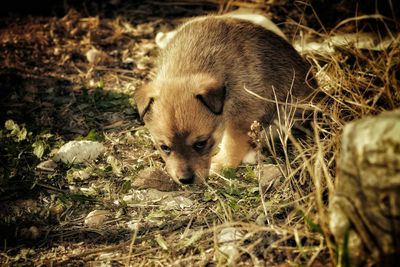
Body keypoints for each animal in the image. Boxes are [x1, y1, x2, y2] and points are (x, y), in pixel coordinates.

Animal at [136, 15, 318, 185]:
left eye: (201, 143)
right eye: (164, 147)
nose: (185, 180)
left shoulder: (241, 118)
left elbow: (233, 144)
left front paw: (222, 164)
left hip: (289, 113)